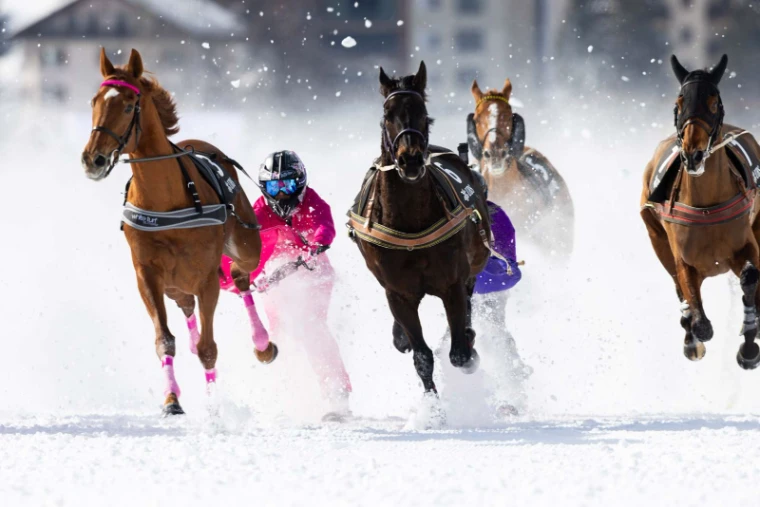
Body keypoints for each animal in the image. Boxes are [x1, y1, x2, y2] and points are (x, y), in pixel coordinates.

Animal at [81, 48, 277, 416]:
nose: (93, 159)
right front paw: (171, 399)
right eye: (94, 101)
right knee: (185, 305)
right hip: (174, 283)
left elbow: (208, 347)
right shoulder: (147, 274)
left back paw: (262, 343)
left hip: (244, 242)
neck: (167, 199)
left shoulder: (206, 277)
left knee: (241, 275)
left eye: (128, 105)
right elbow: (164, 339)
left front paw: (214, 404)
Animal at [347, 61, 491, 399]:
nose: (410, 159)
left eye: (424, 114)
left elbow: (460, 353)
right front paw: (432, 404)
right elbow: (421, 356)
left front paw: (467, 344)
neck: (410, 223)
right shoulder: (398, 291)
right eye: (388, 114)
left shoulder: (452, 282)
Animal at [640, 54, 760, 368]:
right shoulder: (681, 254)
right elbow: (698, 317)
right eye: (679, 102)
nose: (692, 155)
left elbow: (751, 276)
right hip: (655, 234)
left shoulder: (745, 239)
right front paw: (694, 333)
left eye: (713, 102)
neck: (706, 206)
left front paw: (749, 341)